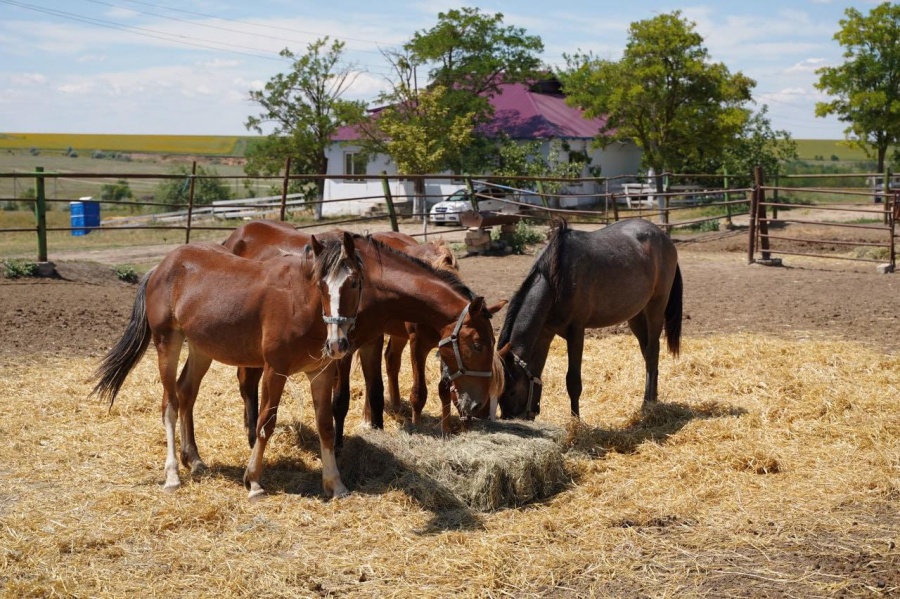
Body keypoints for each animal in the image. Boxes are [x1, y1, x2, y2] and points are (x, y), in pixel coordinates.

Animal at [90, 234, 358, 502]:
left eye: (354, 283)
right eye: (321, 285)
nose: (337, 344)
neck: (298, 300)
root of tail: (160, 267)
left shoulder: (321, 373)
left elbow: (326, 426)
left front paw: (336, 484)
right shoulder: (275, 370)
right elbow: (265, 423)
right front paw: (254, 481)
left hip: (200, 349)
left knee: (186, 393)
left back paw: (194, 460)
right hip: (167, 343)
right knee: (170, 405)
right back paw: (172, 476)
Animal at [500, 218, 684, 420]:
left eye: (511, 391)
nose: (510, 420)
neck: (556, 281)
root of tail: (663, 237)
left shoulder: (576, 331)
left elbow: (573, 381)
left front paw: (576, 421)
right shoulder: (545, 333)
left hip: (655, 307)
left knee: (652, 352)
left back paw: (647, 406)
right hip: (636, 315)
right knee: (648, 354)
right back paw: (653, 401)